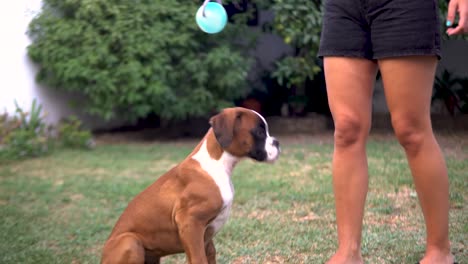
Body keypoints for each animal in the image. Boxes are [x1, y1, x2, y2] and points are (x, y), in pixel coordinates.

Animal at [100, 107, 280, 264]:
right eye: (259, 132)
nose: (277, 142)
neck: (217, 164)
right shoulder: (190, 223)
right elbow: (199, 260)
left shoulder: (206, 240)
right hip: (130, 241)